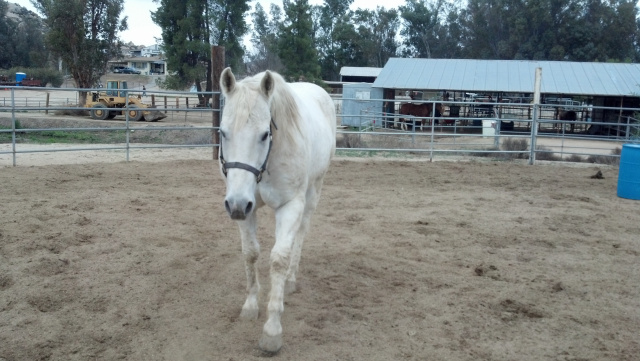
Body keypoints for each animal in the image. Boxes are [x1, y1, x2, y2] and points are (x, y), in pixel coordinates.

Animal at [219, 67, 338, 352]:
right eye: (223, 132)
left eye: (264, 134)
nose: (235, 205)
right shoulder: (245, 207)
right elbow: (251, 254)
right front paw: (251, 306)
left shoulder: (289, 205)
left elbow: (279, 259)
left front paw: (272, 330)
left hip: (313, 190)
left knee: (300, 235)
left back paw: (291, 280)